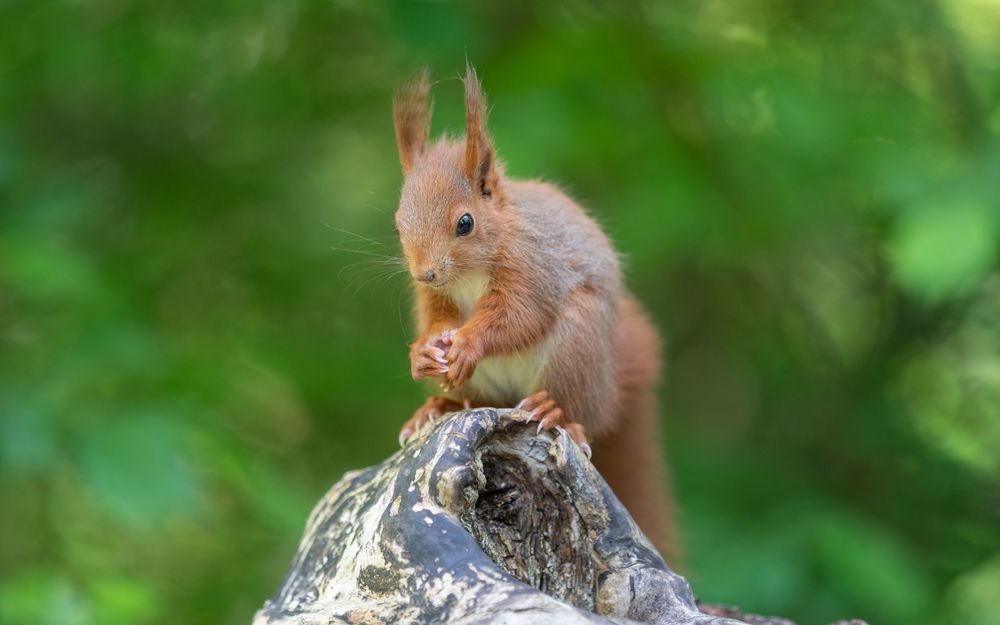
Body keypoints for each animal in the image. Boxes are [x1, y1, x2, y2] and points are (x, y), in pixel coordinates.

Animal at [390, 66, 679, 560]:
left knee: (579, 411)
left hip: (579, 342)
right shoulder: (436, 298)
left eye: (464, 222)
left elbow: (519, 316)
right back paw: (438, 405)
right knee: (478, 402)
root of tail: (608, 388)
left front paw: (468, 344)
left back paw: (553, 409)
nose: (425, 272)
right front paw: (424, 353)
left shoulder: (533, 267)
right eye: (398, 222)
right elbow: (437, 321)